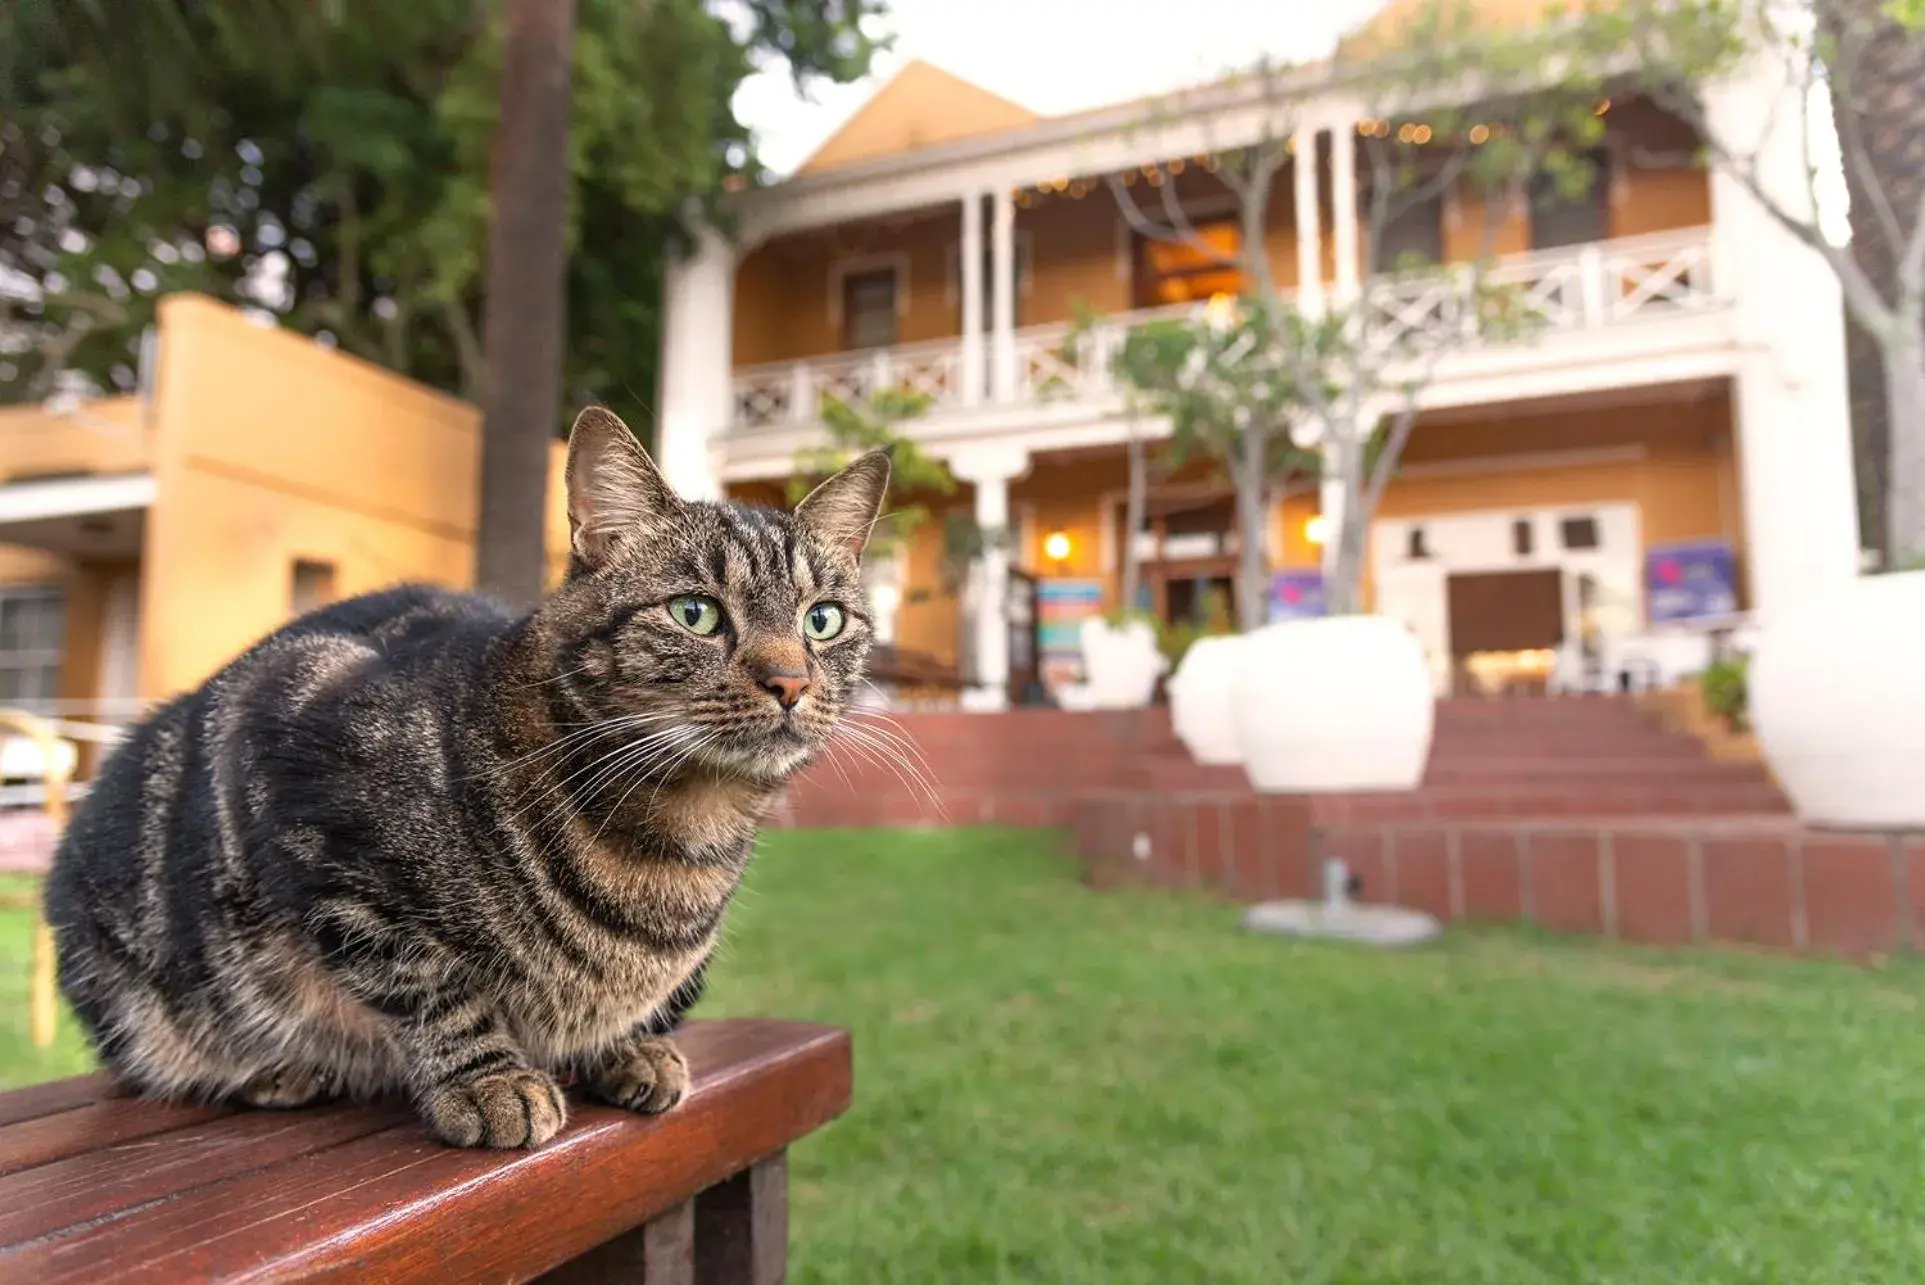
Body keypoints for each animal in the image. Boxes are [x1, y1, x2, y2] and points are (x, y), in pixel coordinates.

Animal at [45, 405, 885, 1146]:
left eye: (822, 620)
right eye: (696, 613)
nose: (789, 681)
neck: (681, 837)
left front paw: (628, 1044)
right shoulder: (312, 803)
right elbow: (433, 986)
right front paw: (491, 1080)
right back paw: (273, 1070)